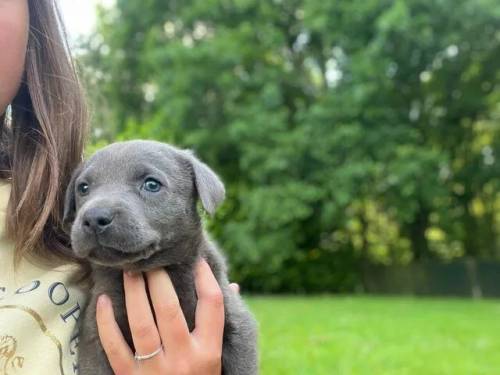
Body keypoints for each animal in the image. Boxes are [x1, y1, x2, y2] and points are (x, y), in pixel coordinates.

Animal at [62, 140, 258, 374]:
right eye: (83, 188)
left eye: (151, 185)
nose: (93, 217)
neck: (146, 271)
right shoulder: (95, 338)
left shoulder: (239, 326)